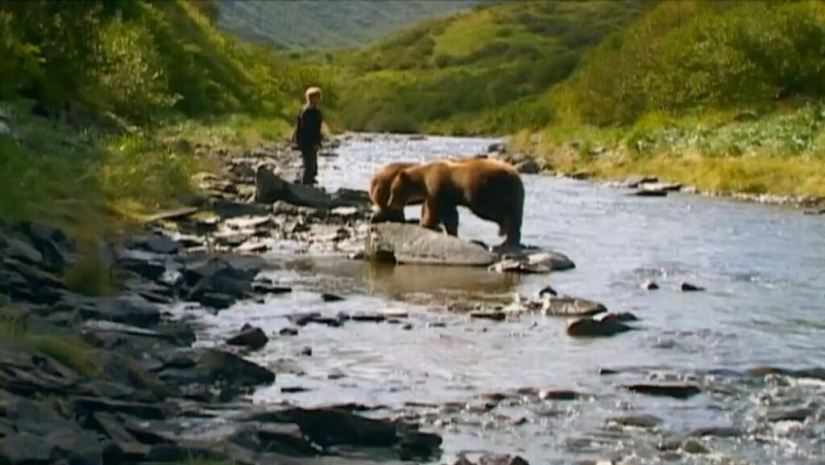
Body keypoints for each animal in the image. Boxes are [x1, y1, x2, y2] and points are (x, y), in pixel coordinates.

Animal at [386, 157, 525, 249]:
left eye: (393, 190)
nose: (389, 203)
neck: (423, 180)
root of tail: (515, 174)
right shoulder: (446, 196)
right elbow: (450, 215)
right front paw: (451, 231)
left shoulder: (438, 187)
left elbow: (436, 209)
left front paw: (424, 223)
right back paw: (509, 239)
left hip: (488, 190)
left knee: (498, 212)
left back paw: (506, 234)